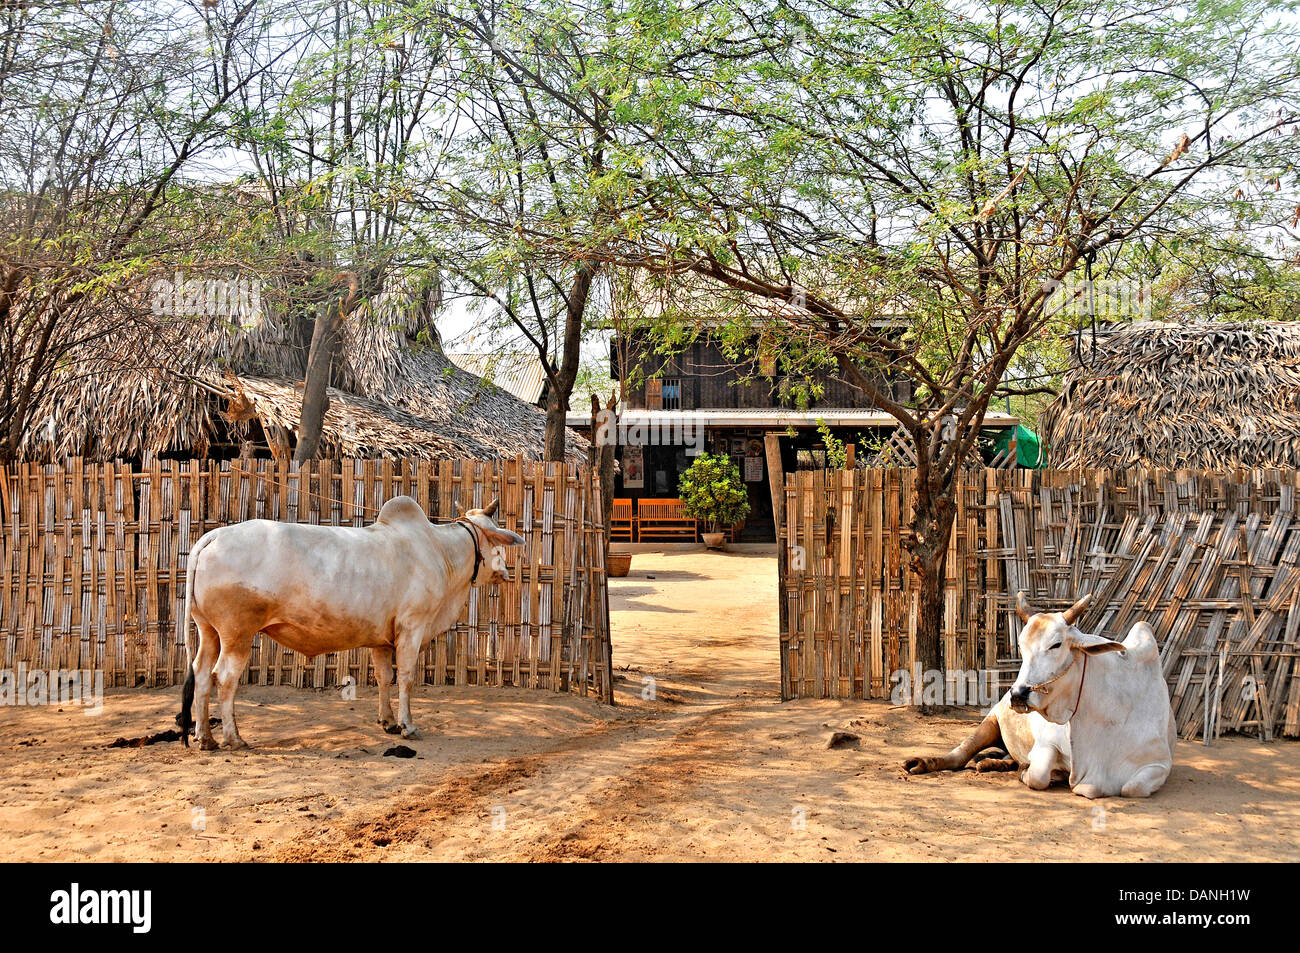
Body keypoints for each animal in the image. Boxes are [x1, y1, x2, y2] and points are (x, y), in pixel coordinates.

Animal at [178, 494, 522, 748]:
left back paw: (205, 737)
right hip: (238, 634)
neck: (439, 550)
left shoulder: (382, 639)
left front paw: (388, 722)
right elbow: (406, 677)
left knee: (202, 673)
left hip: (209, 631)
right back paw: (234, 738)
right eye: (497, 539)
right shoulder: (411, 628)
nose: (506, 571)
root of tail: (214, 535)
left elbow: (384, 677)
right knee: (224, 676)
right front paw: (408, 725)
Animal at [904, 590, 1180, 800]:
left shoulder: (1160, 764)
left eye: (1056, 644)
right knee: (959, 755)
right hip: (991, 719)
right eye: (1021, 646)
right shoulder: (1046, 743)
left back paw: (994, 763)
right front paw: (1033, 773)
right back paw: (923, 763)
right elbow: (1039, 774)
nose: (1017, 694)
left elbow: (1132, 788)